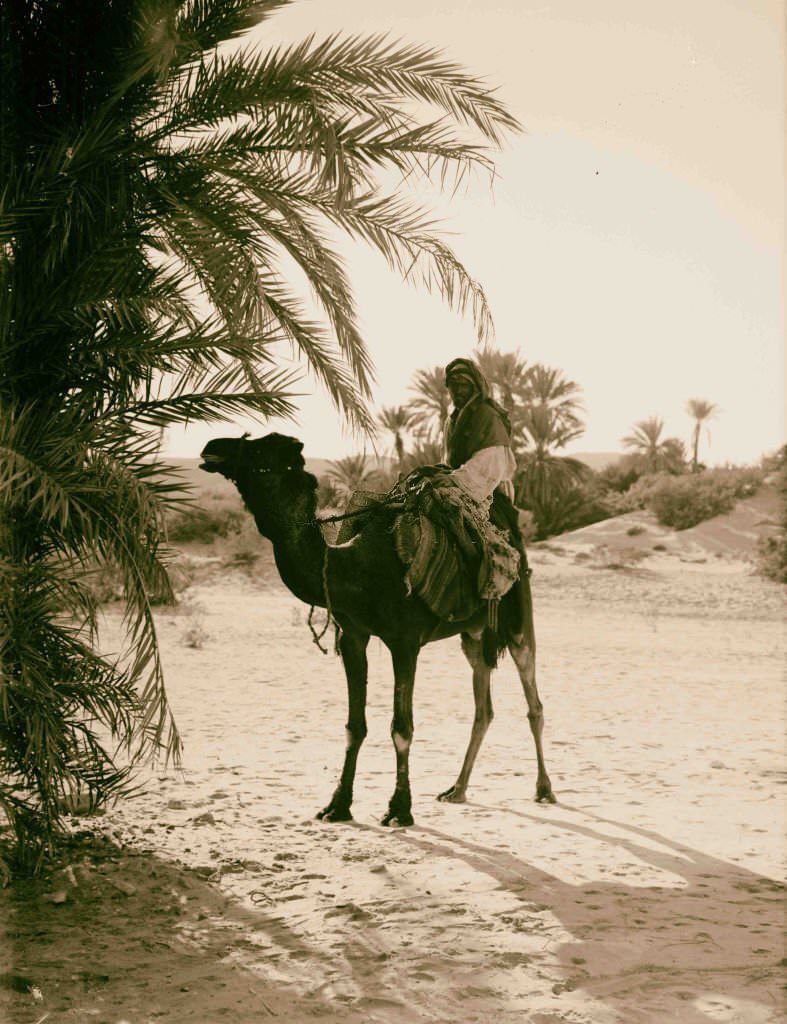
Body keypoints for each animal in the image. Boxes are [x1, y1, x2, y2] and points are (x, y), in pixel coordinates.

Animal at [199, 430, 556, 823]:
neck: (355, 569)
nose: (212, 447)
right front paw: (337, 805)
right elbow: (354, 726)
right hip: (474, 634)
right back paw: (457, 789)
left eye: (259, 452)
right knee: (484, 706)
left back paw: (544, 789)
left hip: (519, 616)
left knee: (533, 698)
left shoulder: (405, 642)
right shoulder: (353, 636)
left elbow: (402, 727)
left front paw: (399, 809)